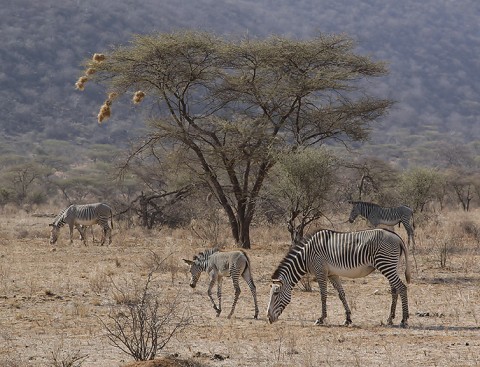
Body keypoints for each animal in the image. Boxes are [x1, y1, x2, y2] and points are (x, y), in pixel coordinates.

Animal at [266, 230, 408, 328]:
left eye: (276, 293)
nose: (268, 317)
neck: (306, 256)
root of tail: (397, 237)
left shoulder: (320, 271)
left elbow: (323, 295)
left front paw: (321, 318)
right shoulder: (332, 274)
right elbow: (341, 294)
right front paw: (348, 319)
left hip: (385, 264)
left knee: (402, 287)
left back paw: (404, 320)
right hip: (390, 266)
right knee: (395, 290)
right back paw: (390, 319)